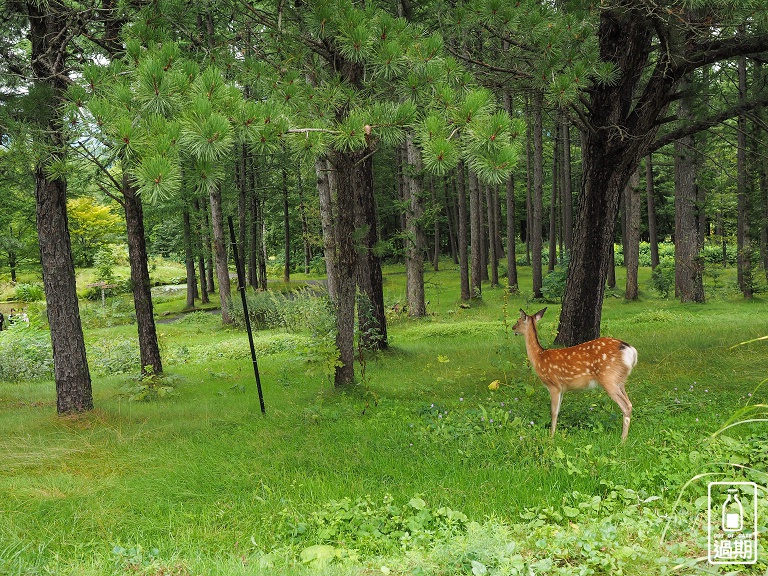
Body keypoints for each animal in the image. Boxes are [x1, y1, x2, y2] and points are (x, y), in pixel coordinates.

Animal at [516, 310, 636, 440]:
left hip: (609, 378)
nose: (513, 328)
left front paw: (551, 435)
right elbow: (558, 410)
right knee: (629, 403)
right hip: (620, 381)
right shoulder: (562, 389)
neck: (539, 358)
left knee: (626, 405)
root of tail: (631, 351)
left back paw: (622, 440)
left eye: (518, 321)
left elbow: (553, 411)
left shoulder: (553, 385)